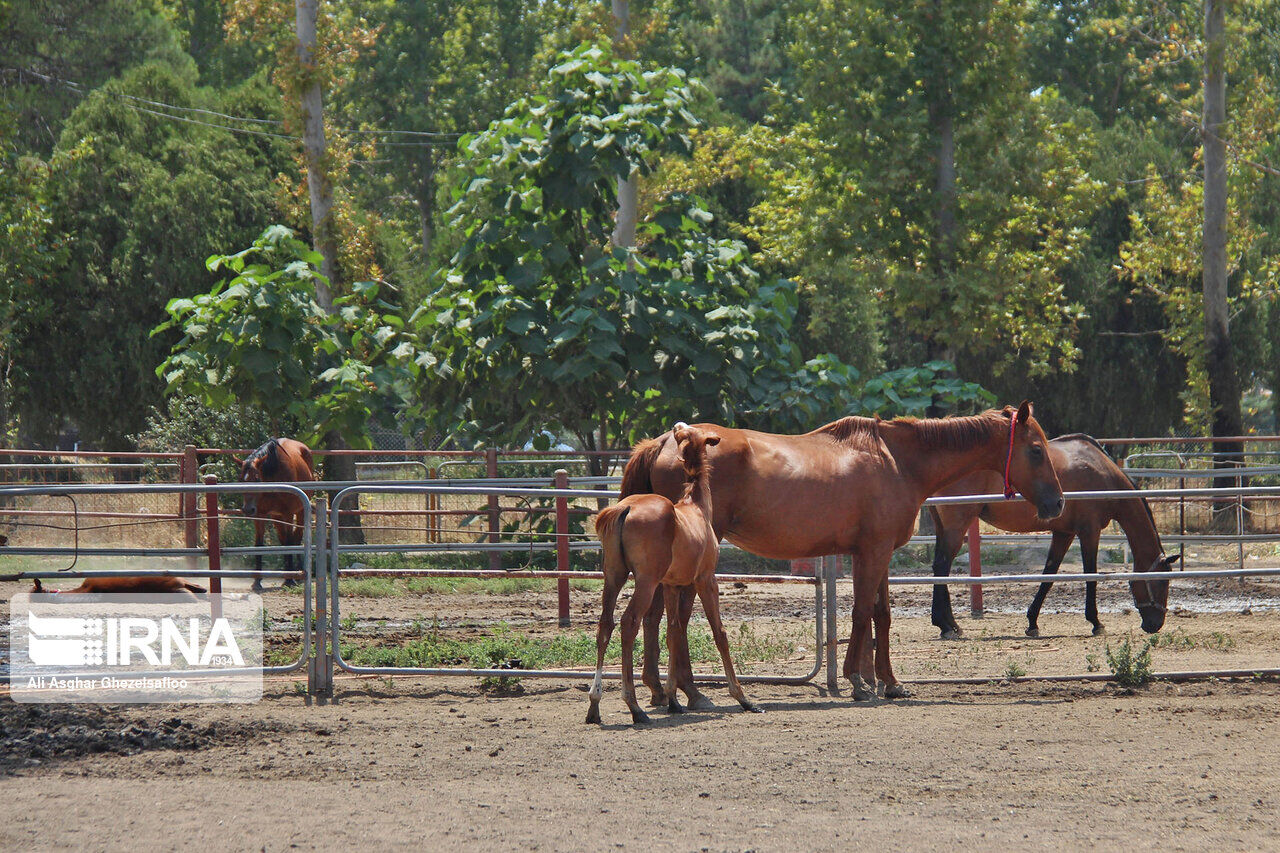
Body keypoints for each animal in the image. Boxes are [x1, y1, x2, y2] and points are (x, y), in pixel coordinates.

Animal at [236, 435, 316, 589]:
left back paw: (297, 573)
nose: (247, 509)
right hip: (275, 516)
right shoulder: (260, 514)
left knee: (296, 538)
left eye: (257, 478)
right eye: (240, 479)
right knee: (284, 539)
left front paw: (290, 580)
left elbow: (290, 543)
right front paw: (257, 581)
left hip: (301, 511)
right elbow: (259, 545)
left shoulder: (288, 513)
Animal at [588, 422, 757, 722]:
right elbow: (719, 632)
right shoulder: (705, 580)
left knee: (605, 625)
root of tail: (624, 508)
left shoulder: (671, 585)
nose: (679, 426)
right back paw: (634, 706)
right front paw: (741, 696)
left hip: (614, 577)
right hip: (645, 583)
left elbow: (673, 632)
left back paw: (594, 705)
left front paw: (673, 699)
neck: (695, 506)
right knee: (629, 623)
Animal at [616, 402, 1059, 701]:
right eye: (1036, 449)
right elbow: (862, 613)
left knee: (655, 617)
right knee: (675, 616)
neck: (898, 461)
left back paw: (660, 690)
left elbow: (881, 616)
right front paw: (857, 681)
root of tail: (663, 442)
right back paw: (689, 692)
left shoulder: (876, 553)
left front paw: (889, 683)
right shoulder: (873, 553)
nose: (1056, 504)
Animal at [931, 432, 1177, 637]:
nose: (1155, 624)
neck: (1103, 474)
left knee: (937, 566)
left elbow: (1049, 575)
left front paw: (1032, 622)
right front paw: (1096, 622)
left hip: (944, 528)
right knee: (943, 566)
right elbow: (1091, 575)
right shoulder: (1089, 531)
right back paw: (949, 625)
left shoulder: (1063, 533)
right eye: (1162, 582)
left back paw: (945, 623)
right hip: (957, 525)